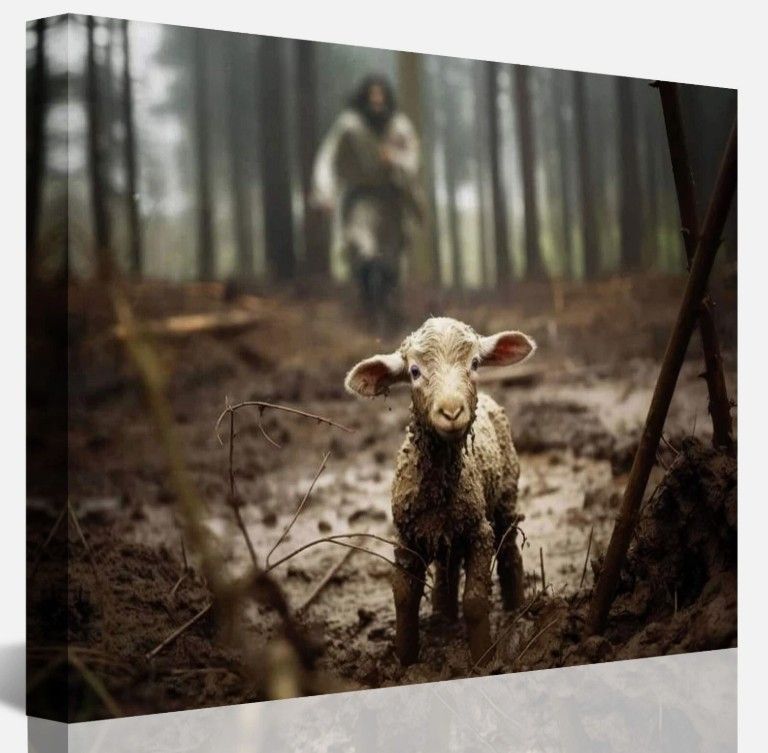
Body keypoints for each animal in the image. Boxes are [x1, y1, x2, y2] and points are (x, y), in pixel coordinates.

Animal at [345, 316, 535, 666]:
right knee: (448, 568)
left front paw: (483, 659)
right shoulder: (406, 536)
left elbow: (475, 600)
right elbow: (404, 598)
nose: (451, 412)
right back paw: (443, 616)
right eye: (414, 371)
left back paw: (518, 608)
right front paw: (405, 660)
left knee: (509, 551)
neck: (438, 490)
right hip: (448, 532)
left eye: (475, 363)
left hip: (505, 499)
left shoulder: (479, 531)